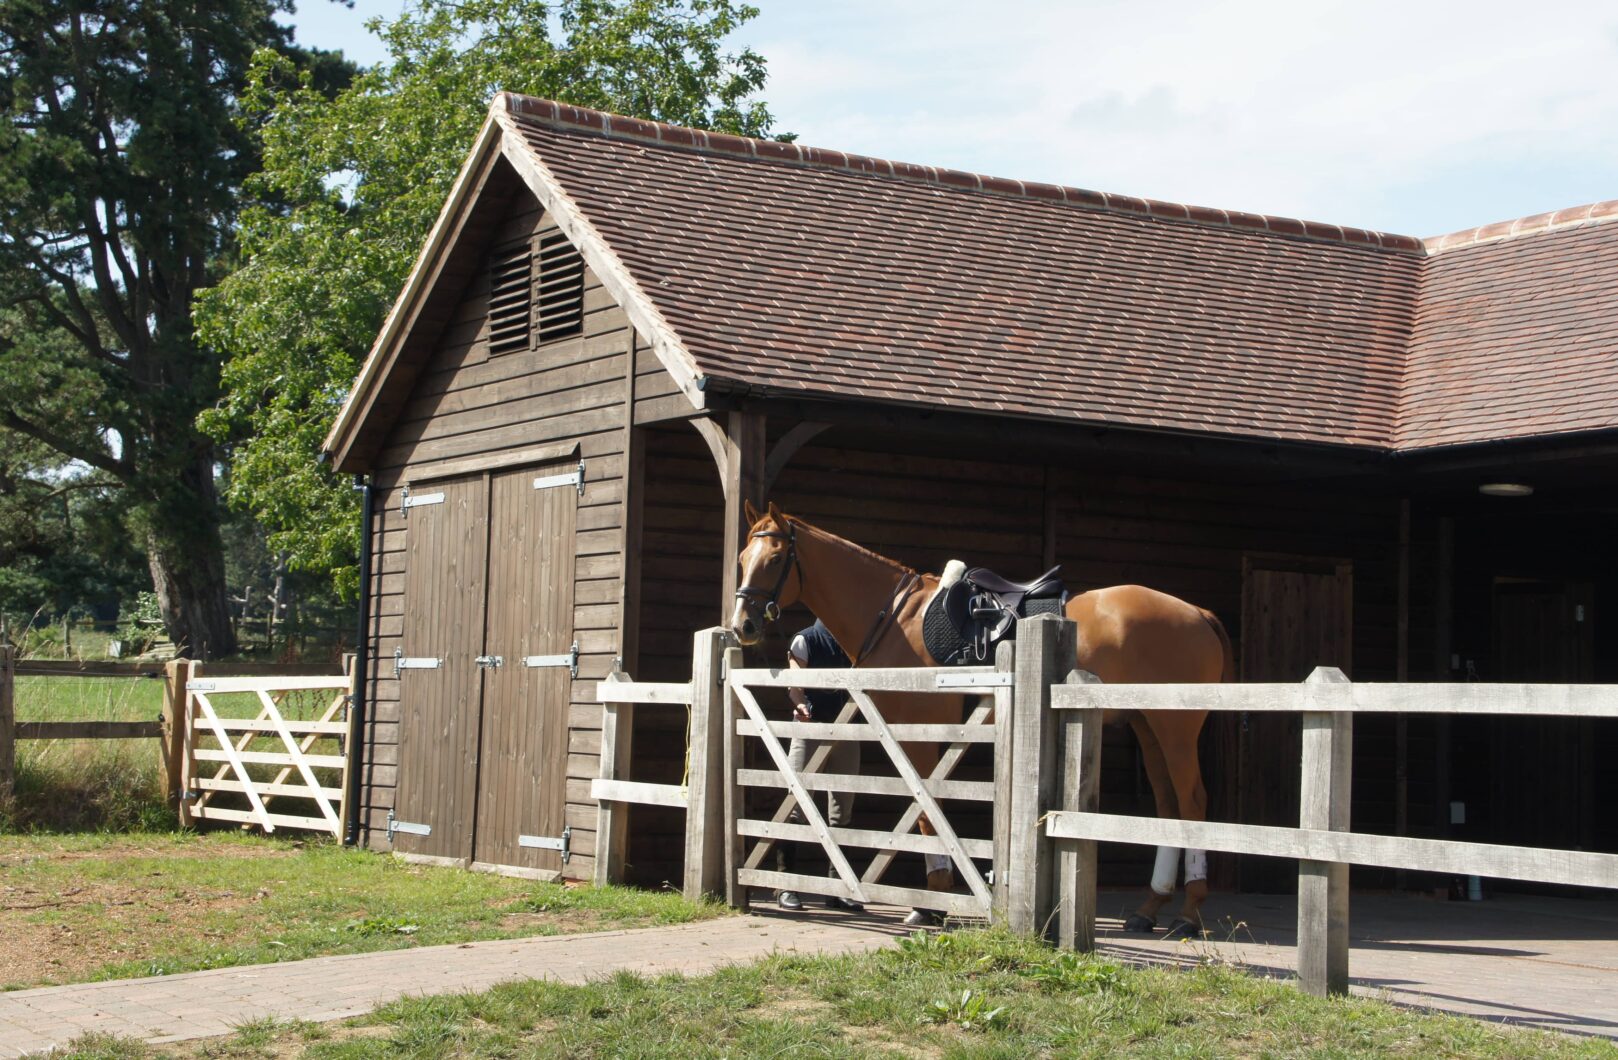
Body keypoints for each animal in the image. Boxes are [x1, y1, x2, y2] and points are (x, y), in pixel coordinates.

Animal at [728, 501, 1233, 937]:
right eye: (743, 557)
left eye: (775, 558)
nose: (742, 626)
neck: (894, 617)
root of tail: (1197, 613)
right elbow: (924, 808)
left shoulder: (920, 730)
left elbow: (926, 810)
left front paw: (932, 903)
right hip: (1148, 725)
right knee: (1168, 807)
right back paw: (1150, 907)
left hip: (1174, 727)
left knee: (1192, 803)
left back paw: (1188, 912)